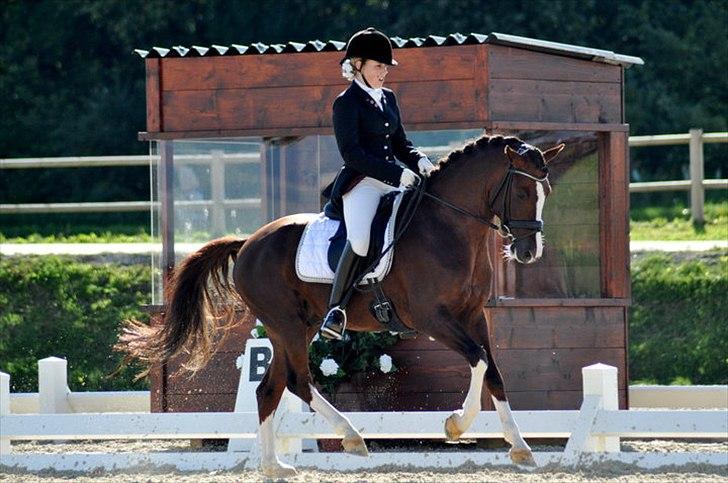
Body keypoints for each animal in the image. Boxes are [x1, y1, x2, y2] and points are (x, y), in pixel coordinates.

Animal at [119, 134, 564, 477]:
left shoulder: (474, 317)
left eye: (546, 193)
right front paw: (456, 425)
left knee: (269, 389)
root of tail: (247, 243)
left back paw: (275, 467)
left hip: (289, 329)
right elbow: (478, 359)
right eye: (522, 191)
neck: (448, 228)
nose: (528, 252)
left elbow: (494, 371)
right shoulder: (431, 318)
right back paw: (351, 438)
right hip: (287, 325)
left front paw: (520, 447)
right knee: (298, 382)